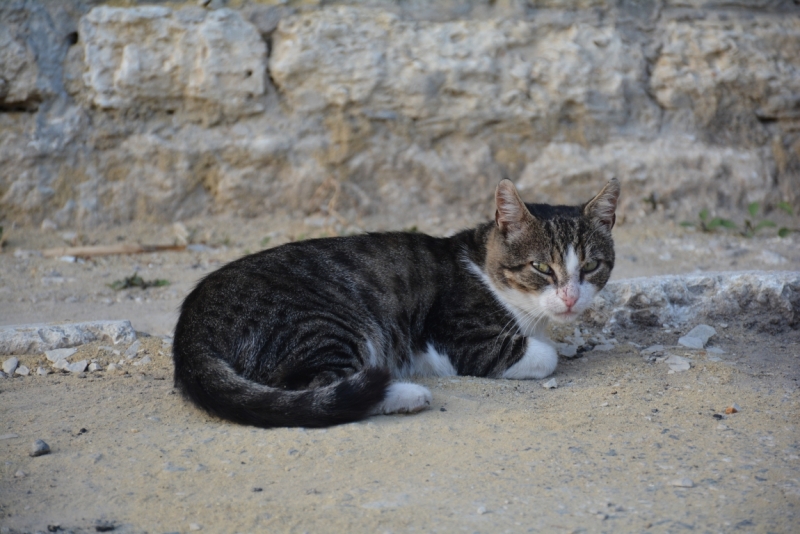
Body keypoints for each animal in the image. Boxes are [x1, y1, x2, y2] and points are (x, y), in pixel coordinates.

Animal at [172, 180, 620, 432]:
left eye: (591, 266)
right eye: (541, 267)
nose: (570, 297)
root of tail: (191, 323)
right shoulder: (463, 338)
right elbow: (544, 355)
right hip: (319, 323)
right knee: (314, 388)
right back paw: (405, 392)